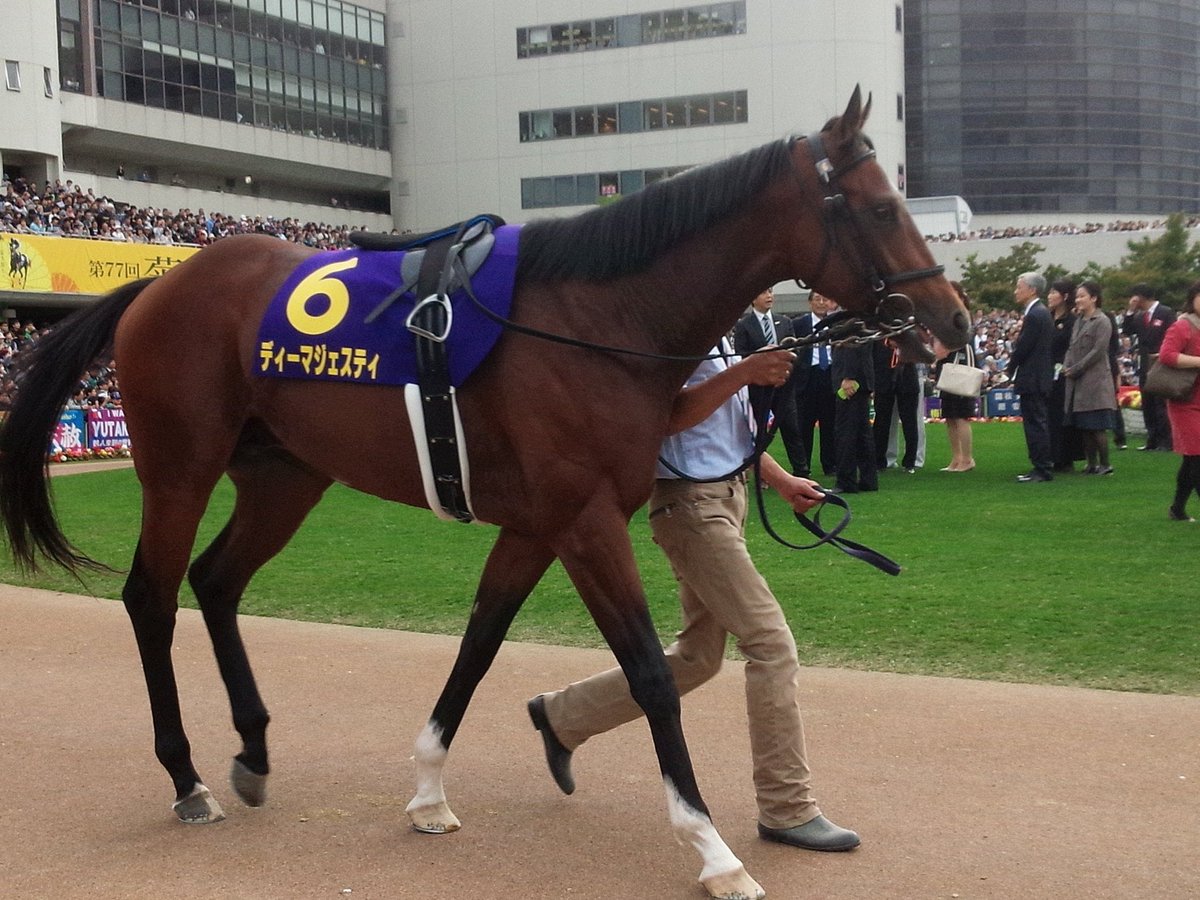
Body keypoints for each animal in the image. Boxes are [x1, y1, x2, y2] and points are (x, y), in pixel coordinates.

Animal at [0, 88, 968, 899]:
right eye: (881, 209)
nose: (953, 321)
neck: (594, 321)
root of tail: (160, 281)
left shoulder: (538, 526)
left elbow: (480, 643)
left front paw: (429, 789)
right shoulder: (586, 525)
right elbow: (651, 675)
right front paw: (711, 848)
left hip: (286, 475)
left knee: (217, 582)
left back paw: (253, 750)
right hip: (178, 468)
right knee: (152, 596)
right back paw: (187, 774)